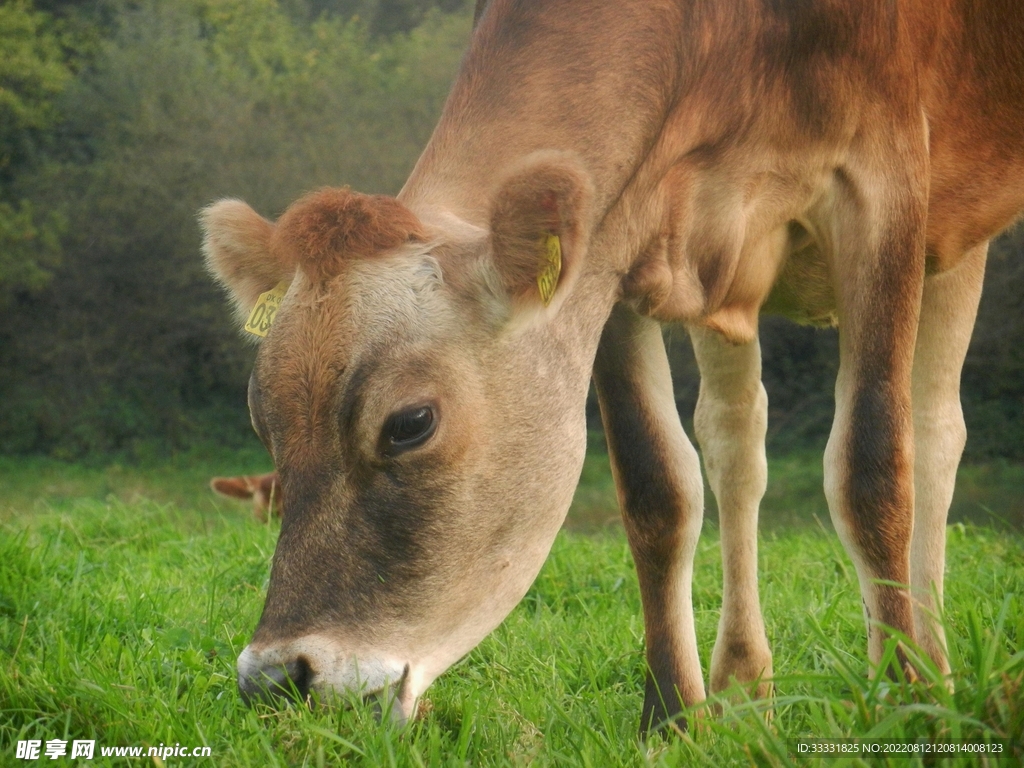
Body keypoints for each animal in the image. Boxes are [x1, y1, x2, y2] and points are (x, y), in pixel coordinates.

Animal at [199, 0, 1024, 733]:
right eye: (262, 419)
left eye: (410, 423)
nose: (277, 678)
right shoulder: (619, 249)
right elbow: (658, 487)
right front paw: (673, 716)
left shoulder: (882, 186)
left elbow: (871, 467)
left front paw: (904, 701)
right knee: (735, 442)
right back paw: (742, 687)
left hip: (953, 237)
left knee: (935, 436)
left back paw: (938, 671)